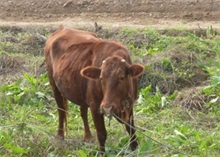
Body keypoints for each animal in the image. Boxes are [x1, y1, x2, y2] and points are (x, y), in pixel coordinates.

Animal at [44, 25, 144, 154]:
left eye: (122, 77)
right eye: (101, 78)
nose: (107, 108)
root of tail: (62, 28)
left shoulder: (129, 105)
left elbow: (131, 129)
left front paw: (135, 148)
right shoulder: (96, 106)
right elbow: (102, 134)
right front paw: (102, 153)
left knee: (82, 112)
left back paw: (88, 137)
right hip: (54, 85)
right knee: (61, 110)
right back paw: (60, 135)